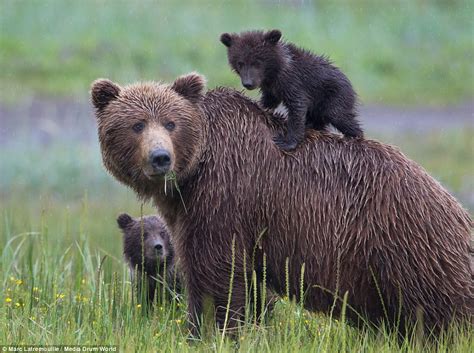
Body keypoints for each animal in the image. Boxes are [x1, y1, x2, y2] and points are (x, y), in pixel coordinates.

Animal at [90, 73, 472, 334]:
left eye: (171, 123)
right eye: (137, 124)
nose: (160, 158)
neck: (197, 169)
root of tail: (450, 200)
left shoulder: (225, 198)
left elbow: (216, 274)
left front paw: (208, 329)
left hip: (405, 243)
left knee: (442, 310)